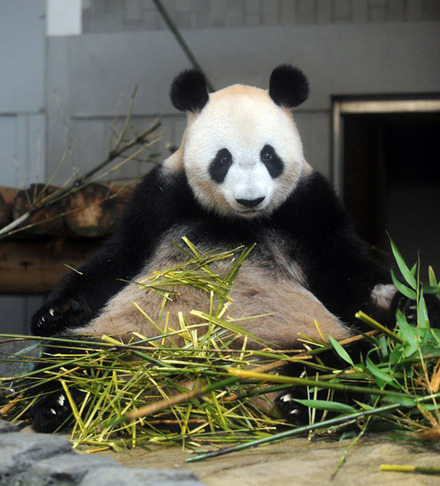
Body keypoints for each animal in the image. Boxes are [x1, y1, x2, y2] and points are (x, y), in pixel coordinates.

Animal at [30, 64, 434, 432]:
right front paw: (54, 312)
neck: (236, 221)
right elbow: (117, 259)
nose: (250, 199)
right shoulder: (159, 201)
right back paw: (57, 403)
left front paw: (404, 304)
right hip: (127, 337)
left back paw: (303, 400)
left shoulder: (309, 208)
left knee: (355, 360)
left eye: (270, 156)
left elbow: (345, 272)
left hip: (304, 337)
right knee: (72, 358)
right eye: (222, 158)